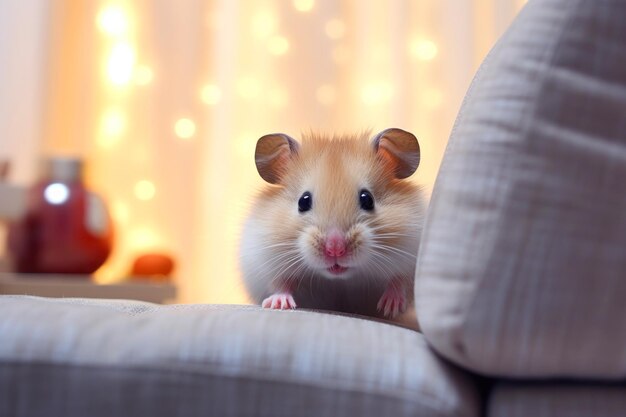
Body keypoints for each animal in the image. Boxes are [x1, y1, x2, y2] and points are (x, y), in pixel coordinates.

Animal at [238, 127, 424, 318]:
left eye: (367, 199)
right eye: (303, 201)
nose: (335, 249)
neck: (338, 278)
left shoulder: (410, 259)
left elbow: (399, 281)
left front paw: (389, 308)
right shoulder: (266, 260)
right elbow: (280, 284)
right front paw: (279, 304)